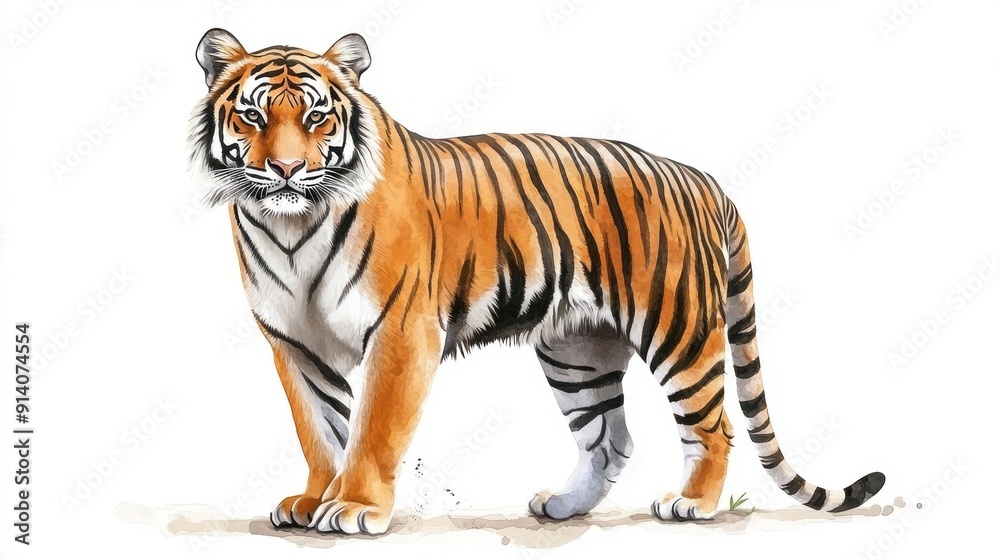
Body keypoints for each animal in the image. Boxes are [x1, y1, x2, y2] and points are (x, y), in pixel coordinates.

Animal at [188, 28, 884, 535]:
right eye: (251, 117)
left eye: (316, 119)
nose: (284, 169)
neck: (292, 225)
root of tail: (701, 178)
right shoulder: (295, 343)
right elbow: (320, 431)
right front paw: (313, 501)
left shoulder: (401, 332)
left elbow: (373, 430)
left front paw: (357, 507)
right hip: (578, 350)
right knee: (610, 441)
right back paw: (563, 506)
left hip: (678, 328)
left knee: (713, 425)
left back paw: (692, 504)